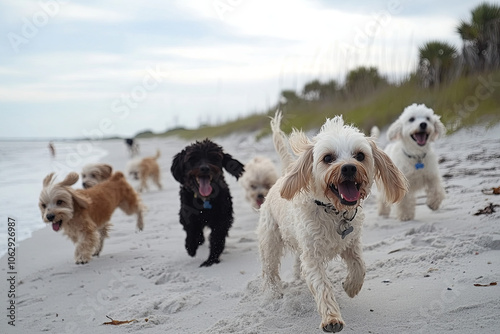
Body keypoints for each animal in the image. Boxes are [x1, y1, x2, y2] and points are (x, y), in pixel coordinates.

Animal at [170, 138, 244, 266]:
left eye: (213, 157)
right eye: (192, 158)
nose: (205, 168)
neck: (204, 199)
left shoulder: (222, 218)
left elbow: (217, 237)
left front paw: (211, 259)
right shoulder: (186, 214)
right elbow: (191, 229)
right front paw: (191, 247)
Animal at [256, 111, 408, 332]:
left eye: (360, 156)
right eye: (328, 158)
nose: (349, 168)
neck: (333, 211)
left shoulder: (351, 243)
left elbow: (359, 266)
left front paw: (351, 286)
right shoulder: (312, 257)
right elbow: (322, 286)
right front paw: (331, 318)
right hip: (270, 242)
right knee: (269, 269)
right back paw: (273, 293)